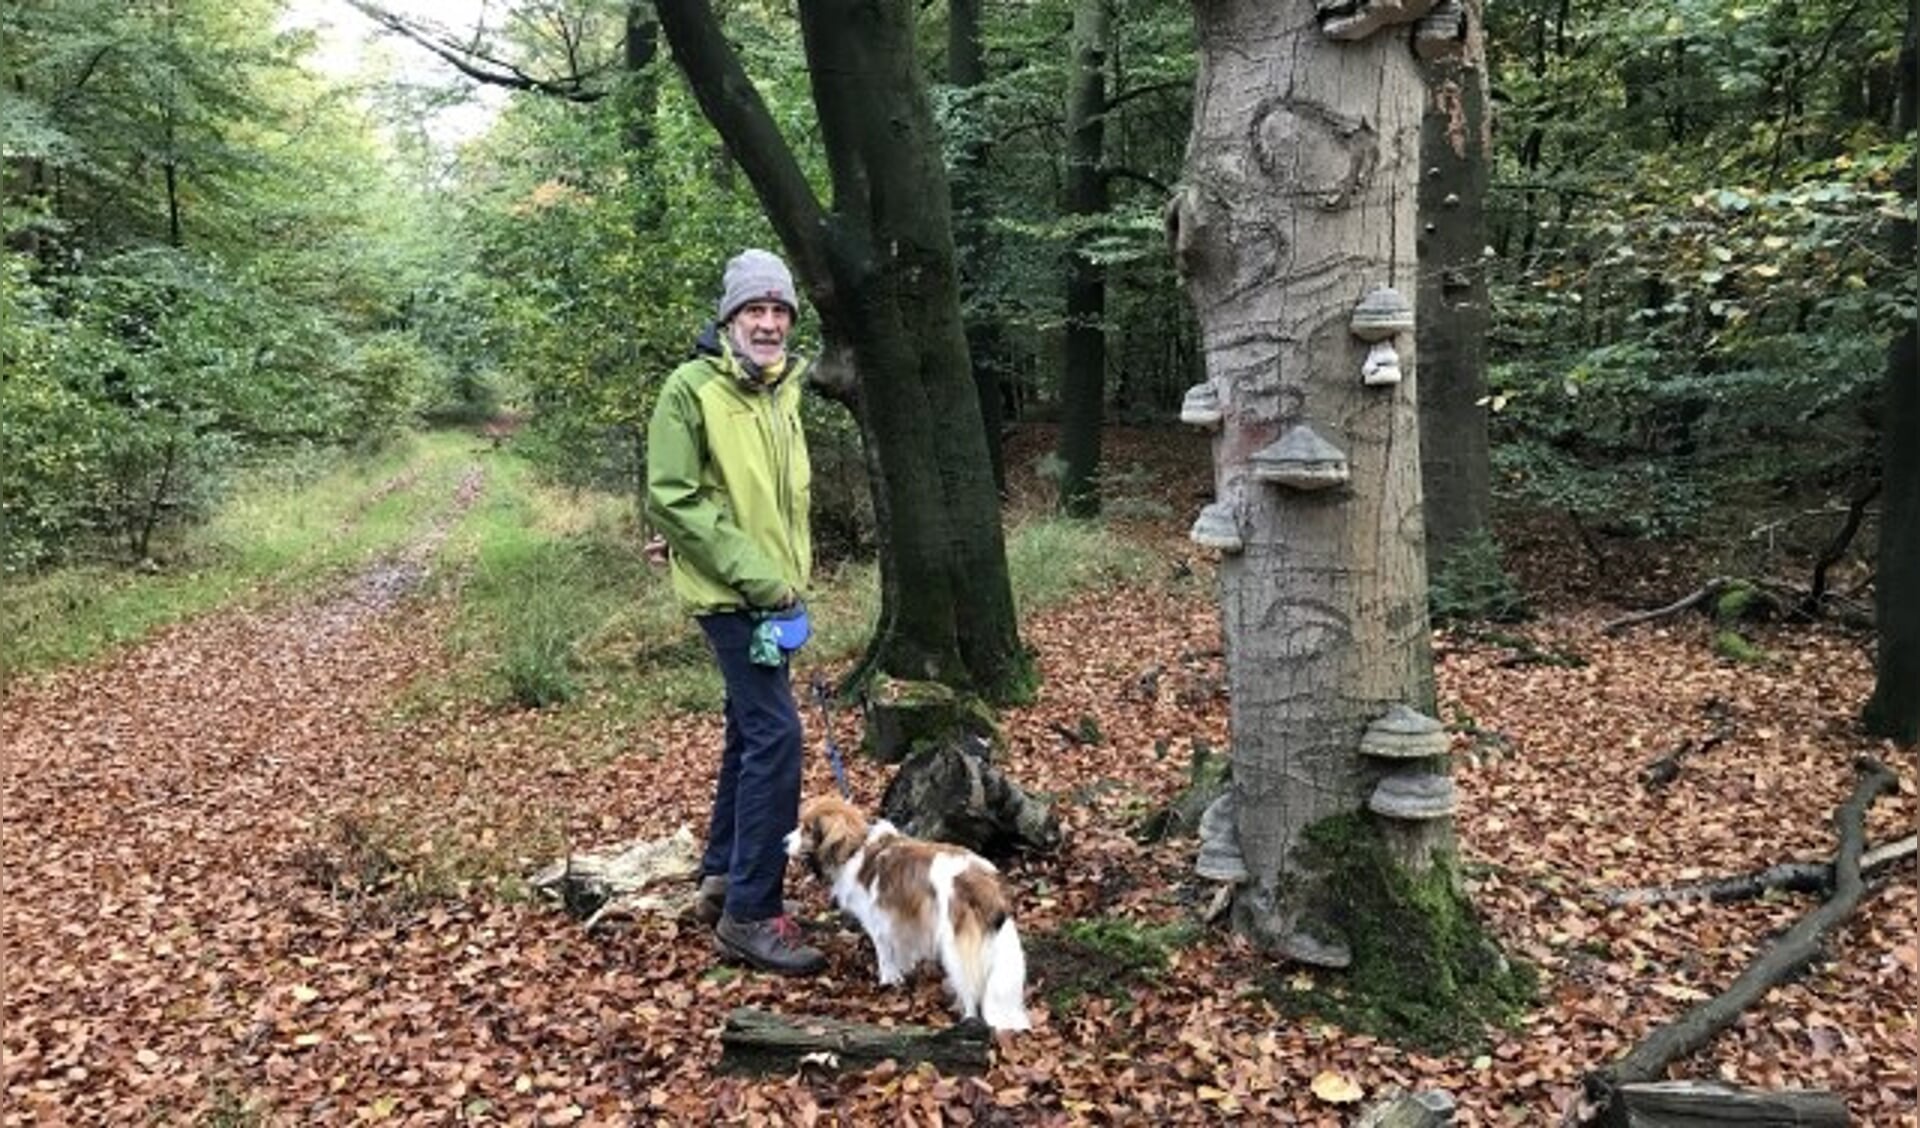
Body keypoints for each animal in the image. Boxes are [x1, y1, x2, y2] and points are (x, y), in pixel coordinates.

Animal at [783, 794, 1036, 1028]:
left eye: (806, 829)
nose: (783, 841)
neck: (857, 848)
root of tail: (983, 883)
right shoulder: (905, 921)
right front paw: (906, 969)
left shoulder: (880, 925)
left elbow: (885, 956)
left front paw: (888, 981)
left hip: (954, 948)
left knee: (970, 989)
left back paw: (968, 1020)